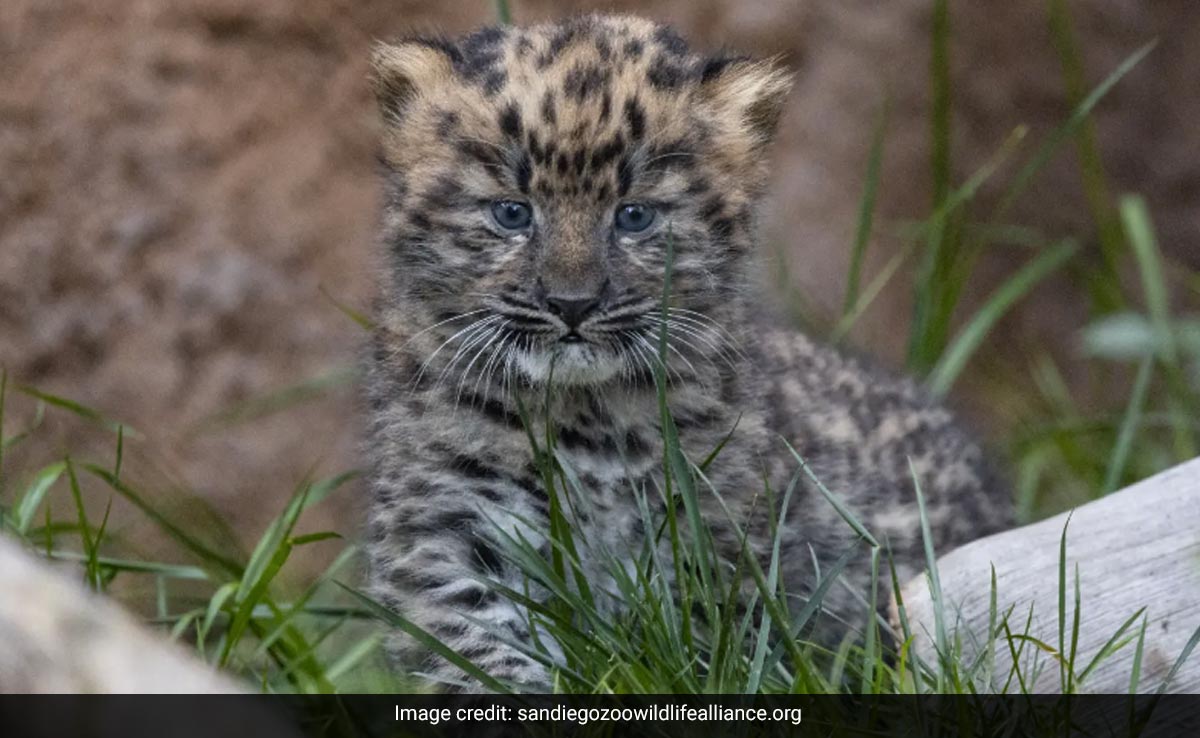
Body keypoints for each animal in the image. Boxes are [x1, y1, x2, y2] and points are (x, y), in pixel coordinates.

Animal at [362, 13, 1010, 691]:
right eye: (512, 213)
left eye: (635, 216)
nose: (572, 304)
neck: (584, 418)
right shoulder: (447, 533)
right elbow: (480, 658)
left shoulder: (711, 538)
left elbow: (700, 654)